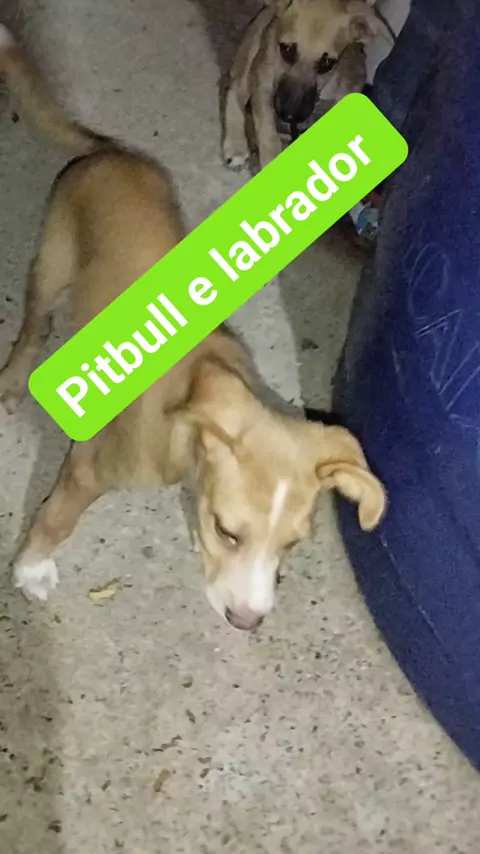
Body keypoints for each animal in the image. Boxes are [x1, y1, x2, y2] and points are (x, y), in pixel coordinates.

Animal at [0, 24, 386, 630]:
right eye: (229, 532)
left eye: (292, 545)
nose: (248, 623)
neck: (185, 435)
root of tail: (108, 150)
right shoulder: (86, 471)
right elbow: (57, 518)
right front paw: (32, 568)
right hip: (51, 265)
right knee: (33, 328)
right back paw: (15, 379)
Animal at [222, 0, 394, 170]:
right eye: (287, 49)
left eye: (327, 63)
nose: (289, 116)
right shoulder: (262, 82)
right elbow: (268, 135)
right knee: (235, 88)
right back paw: (236, 144)